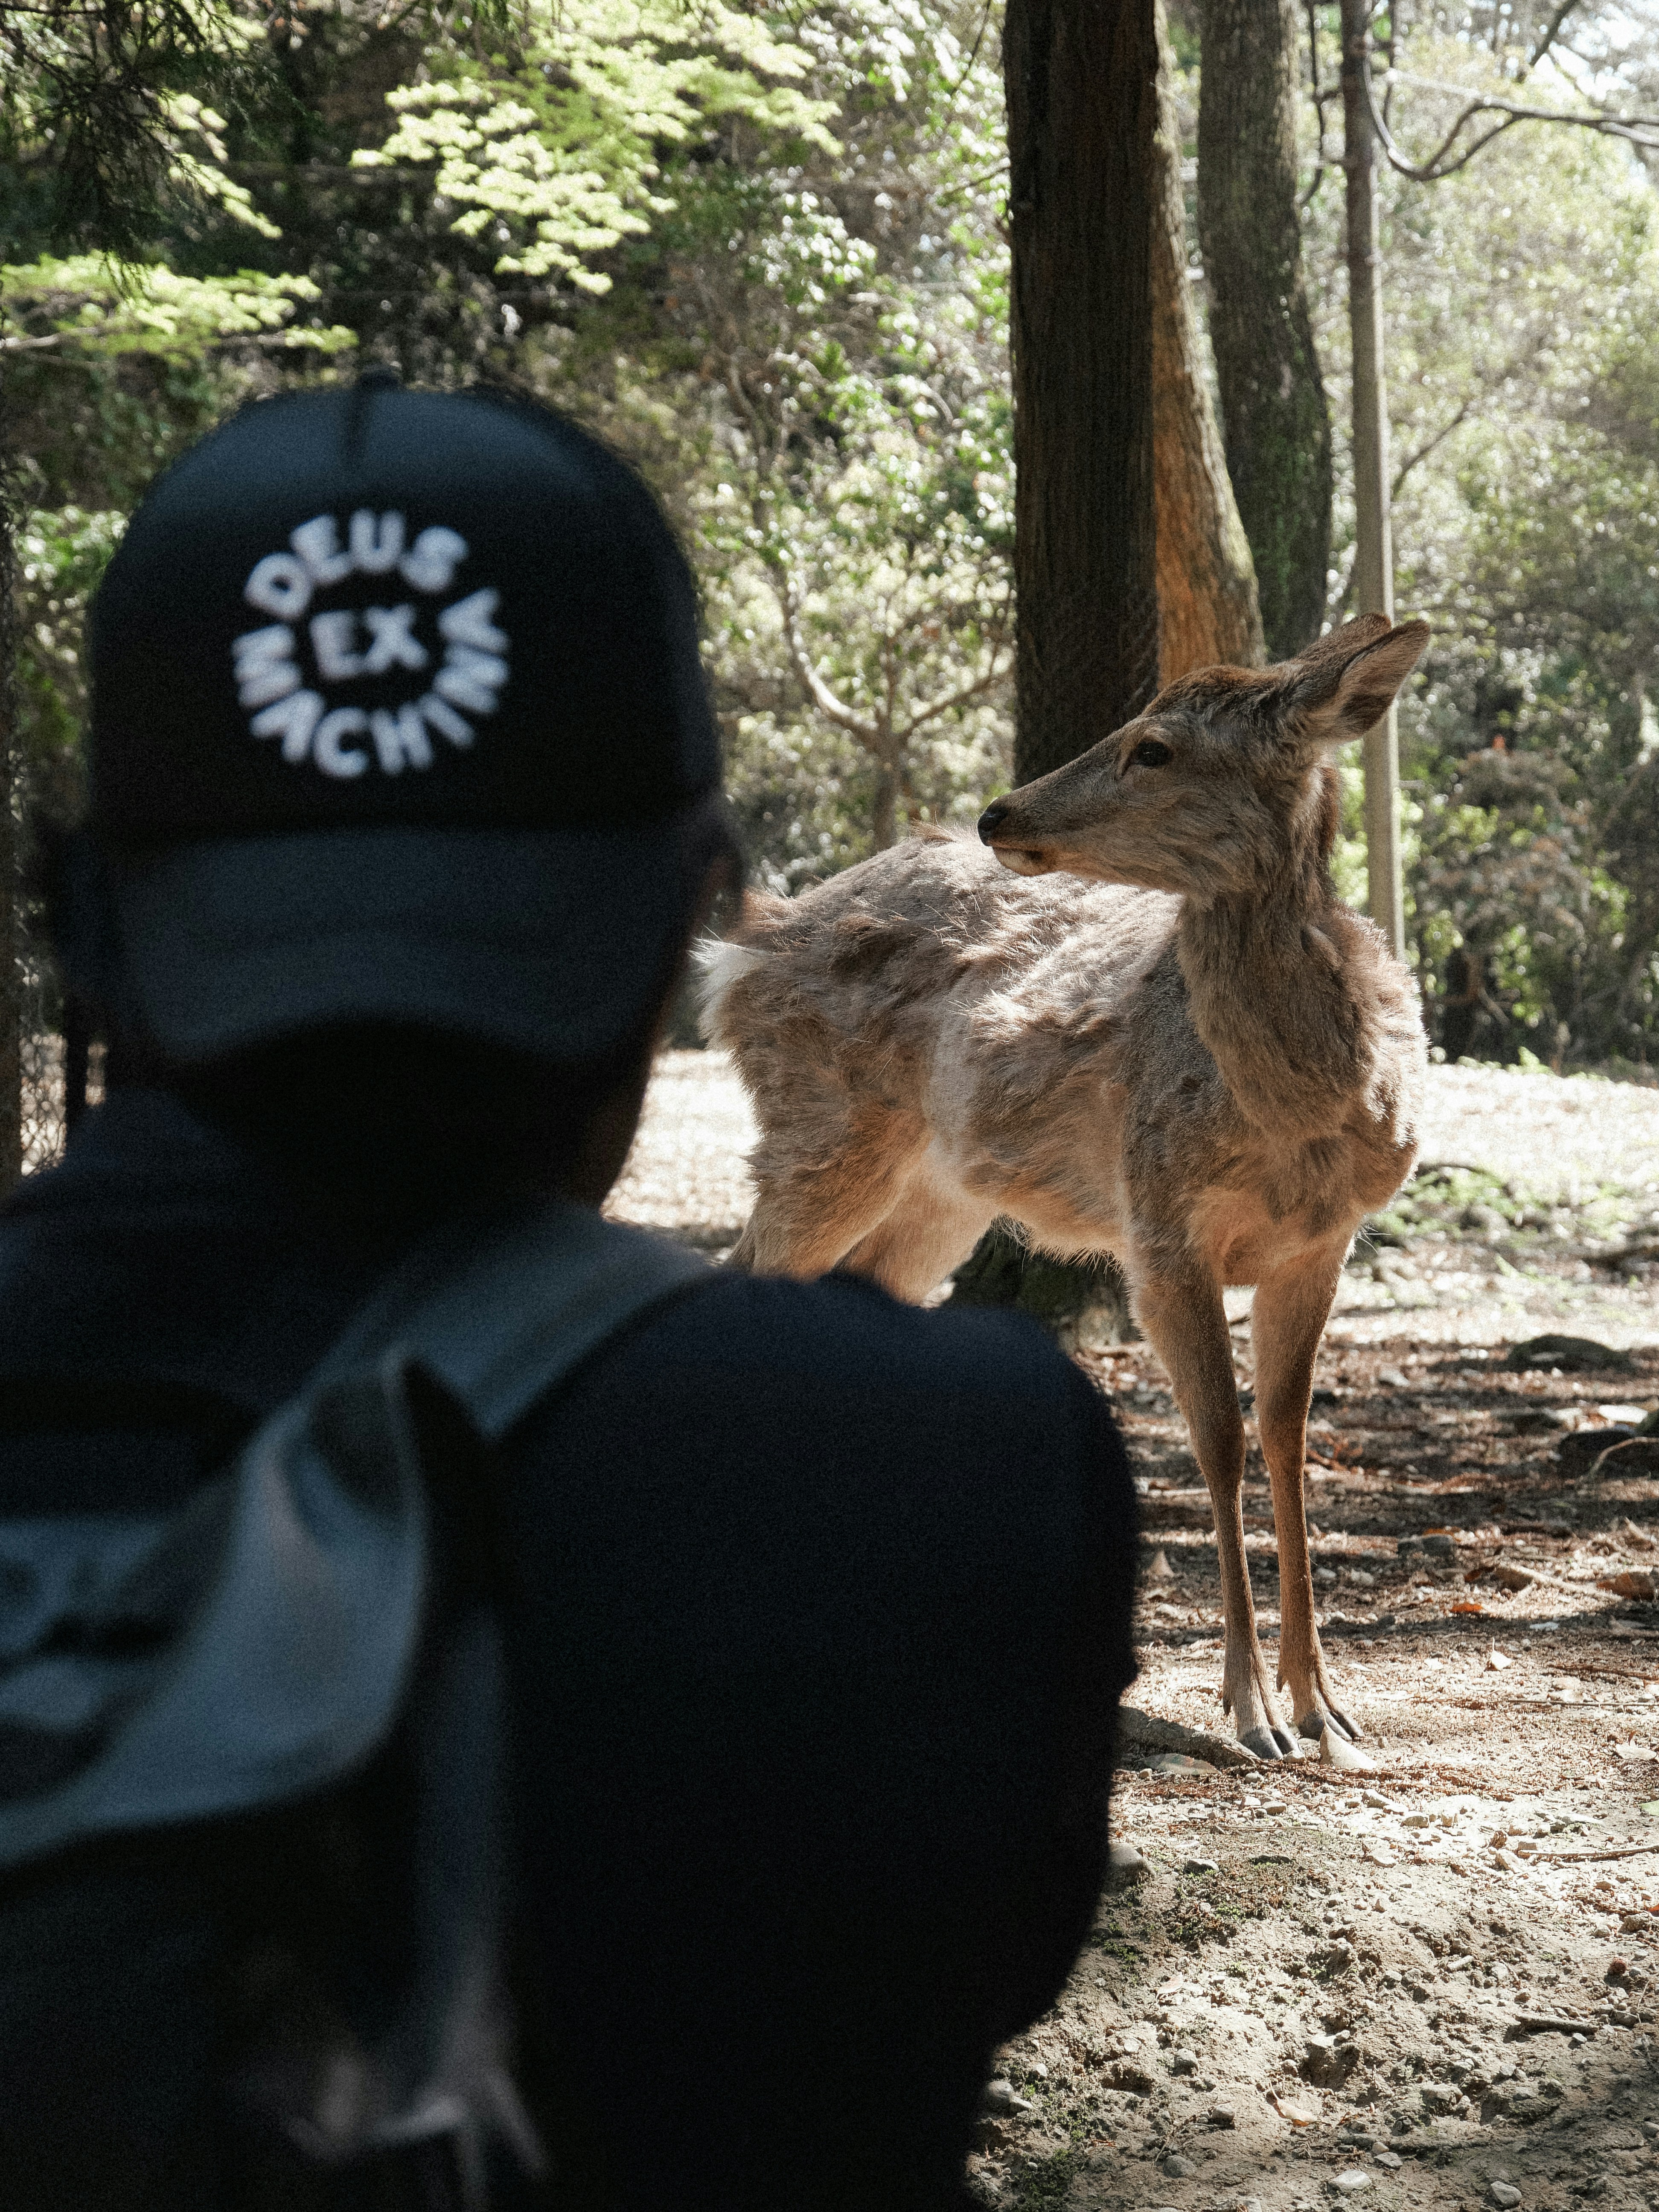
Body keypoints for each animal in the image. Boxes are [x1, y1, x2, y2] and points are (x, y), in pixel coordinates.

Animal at [699, 614, 1430, 1761]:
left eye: (1155, 747)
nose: (1000, 812)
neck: (1296, 1115)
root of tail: (739, 950)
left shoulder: (1322, 1243)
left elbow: (1288, 1437)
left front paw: (1327, 1708)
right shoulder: (1161, 1225)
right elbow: (1219, 1441)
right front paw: (1250, 1711)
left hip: (938, 1195)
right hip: (816, 1132)